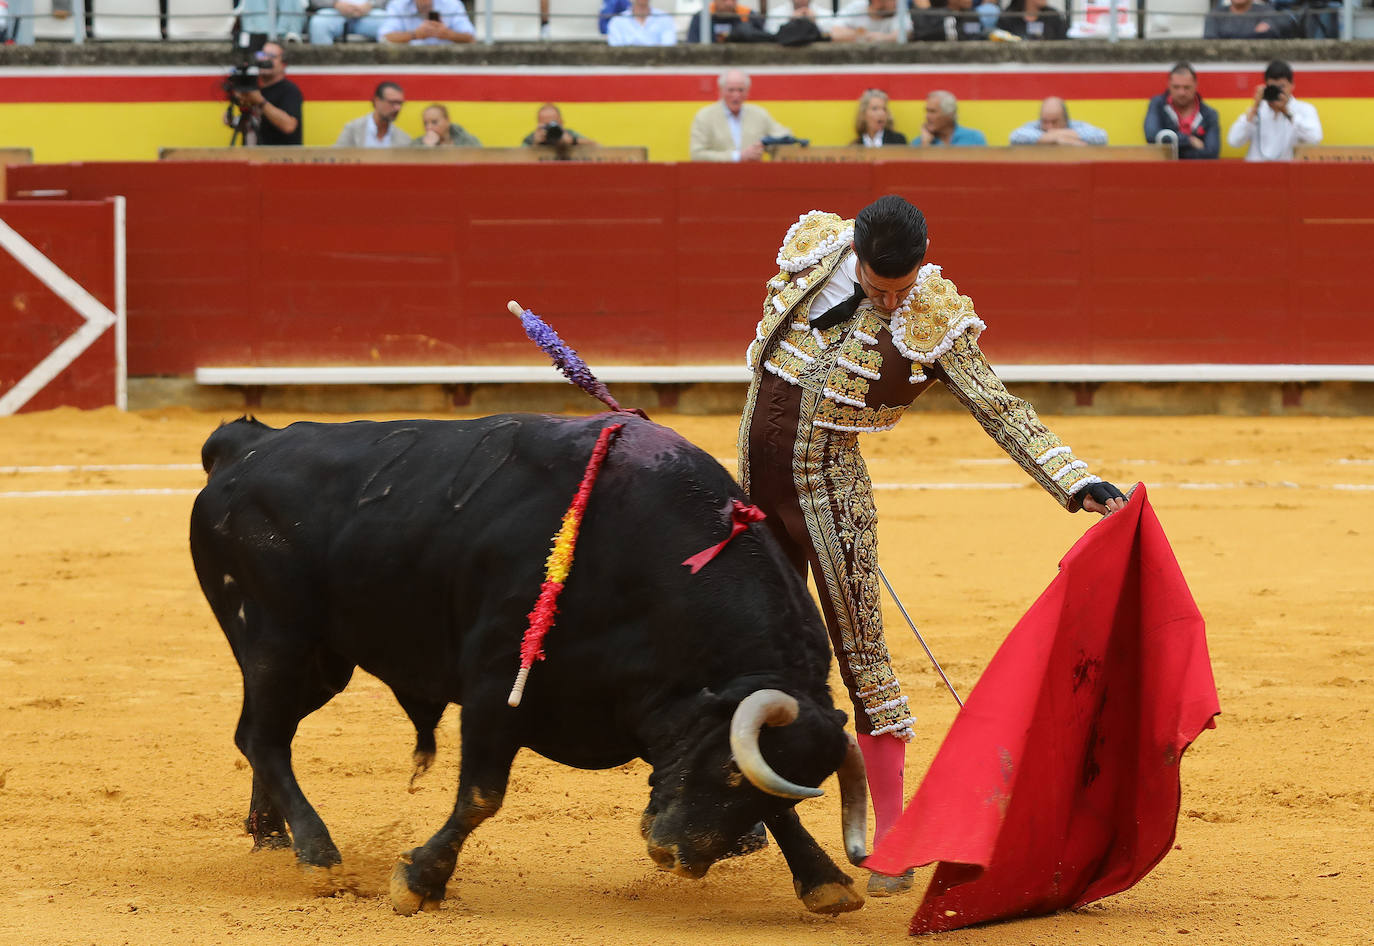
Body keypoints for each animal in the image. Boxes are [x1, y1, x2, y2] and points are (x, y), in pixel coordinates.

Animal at [188, 411, 868, 917]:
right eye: (726, 773)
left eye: (742, 781)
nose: (677, 857)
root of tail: (247, 445)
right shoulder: (495, 687)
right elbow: (481, 796)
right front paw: (419, 882)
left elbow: (782, 805)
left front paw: (825, 882)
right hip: (276, 638)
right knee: (261, 736)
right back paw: (318, 854)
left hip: (323, 662)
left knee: (269, 735)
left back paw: (271, 835)